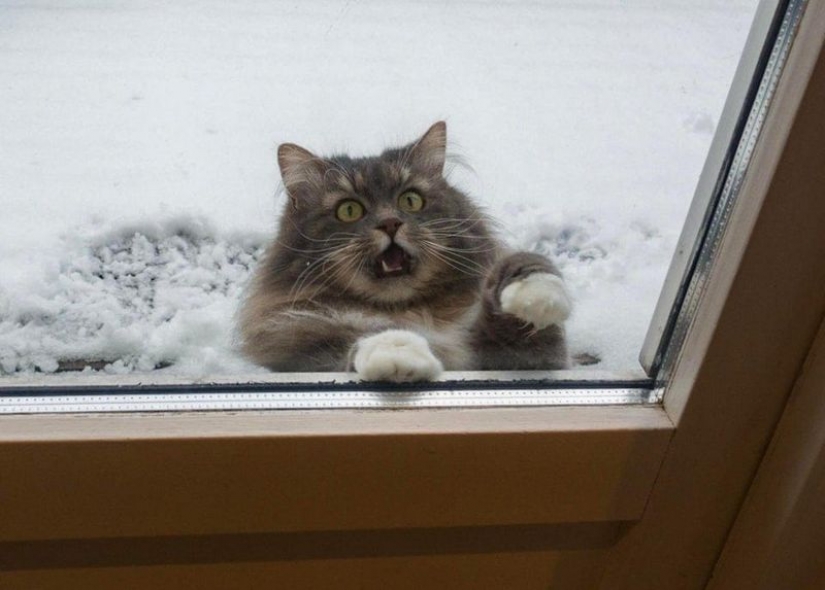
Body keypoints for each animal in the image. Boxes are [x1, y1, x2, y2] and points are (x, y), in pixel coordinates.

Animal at [238, 123, 568, 384]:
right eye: (348, 210)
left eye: (410, 200)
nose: (390, 223)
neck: (408, 312)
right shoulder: (306, 359)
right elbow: (361, 344)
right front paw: (395, 350)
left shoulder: (530, 360)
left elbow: (521, 267)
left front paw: (534, 294)